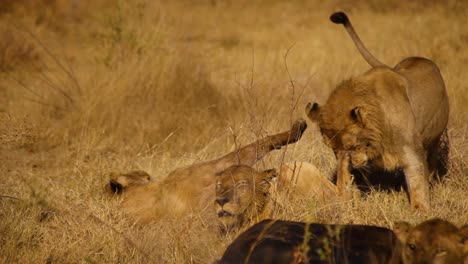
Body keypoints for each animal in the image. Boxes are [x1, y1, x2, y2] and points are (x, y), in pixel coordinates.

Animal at [308, 11, 450, 210]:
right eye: (333, 150)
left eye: (353, 146)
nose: (354, 163)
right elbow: (345, 179)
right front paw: (343, 200)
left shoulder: (413, 153)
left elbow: (417, 184)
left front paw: (421, 211)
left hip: (434, 141)